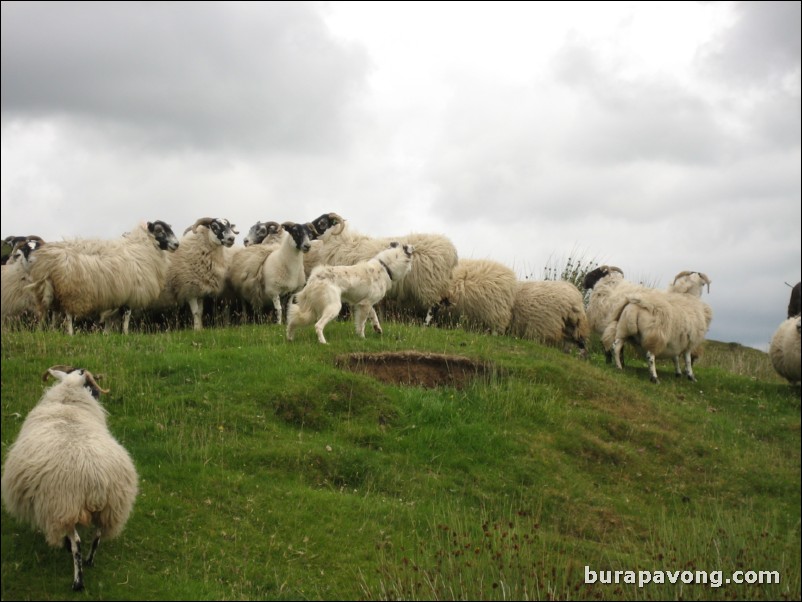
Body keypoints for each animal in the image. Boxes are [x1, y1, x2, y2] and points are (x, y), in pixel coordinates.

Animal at [0, 364, 138, 588]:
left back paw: (77, 581)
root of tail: (96, 481)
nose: (98, 394)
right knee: (98, 535)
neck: (69, 401)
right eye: (91, 384)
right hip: (111, 509)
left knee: (77, 544)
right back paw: (90, 561)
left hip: (63, 507)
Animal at [28, 220, 180, 332]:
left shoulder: (114, 296)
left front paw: (107, 335)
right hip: (70, 291)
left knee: (51, 314)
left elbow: (109, 320)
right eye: (160, 231)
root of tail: (47, 260)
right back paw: (70, 334)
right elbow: (126, 318)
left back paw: (51, 332)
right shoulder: (129, 295)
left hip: (52, 291)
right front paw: (125, 334)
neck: (143, 247)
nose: (176, 244)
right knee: (68, 315)